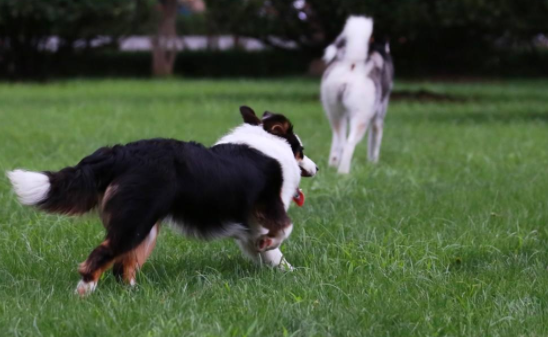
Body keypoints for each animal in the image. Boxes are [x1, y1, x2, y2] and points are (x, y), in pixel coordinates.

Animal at [6, 105, 318, 294]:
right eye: (301, 151)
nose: (316, 168)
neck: (267, 143)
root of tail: (119, 153)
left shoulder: (250, 224)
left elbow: (269, 254)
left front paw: (286, 272)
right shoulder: (269, 205)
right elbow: (284, 229)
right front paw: (277, 253)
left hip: (145, 226)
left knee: (123, 266)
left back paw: (134, 294)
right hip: (137, 220)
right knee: (102, 257)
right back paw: (85, 292)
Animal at [322, 15, 394, 173]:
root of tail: (353, 63)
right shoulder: (378, 119)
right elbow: (375, 143)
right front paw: (374, 163)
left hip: (335, 114)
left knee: (340, 141)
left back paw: (334, 166)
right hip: (361, 118)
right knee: (349, 143)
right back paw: (343, 172)